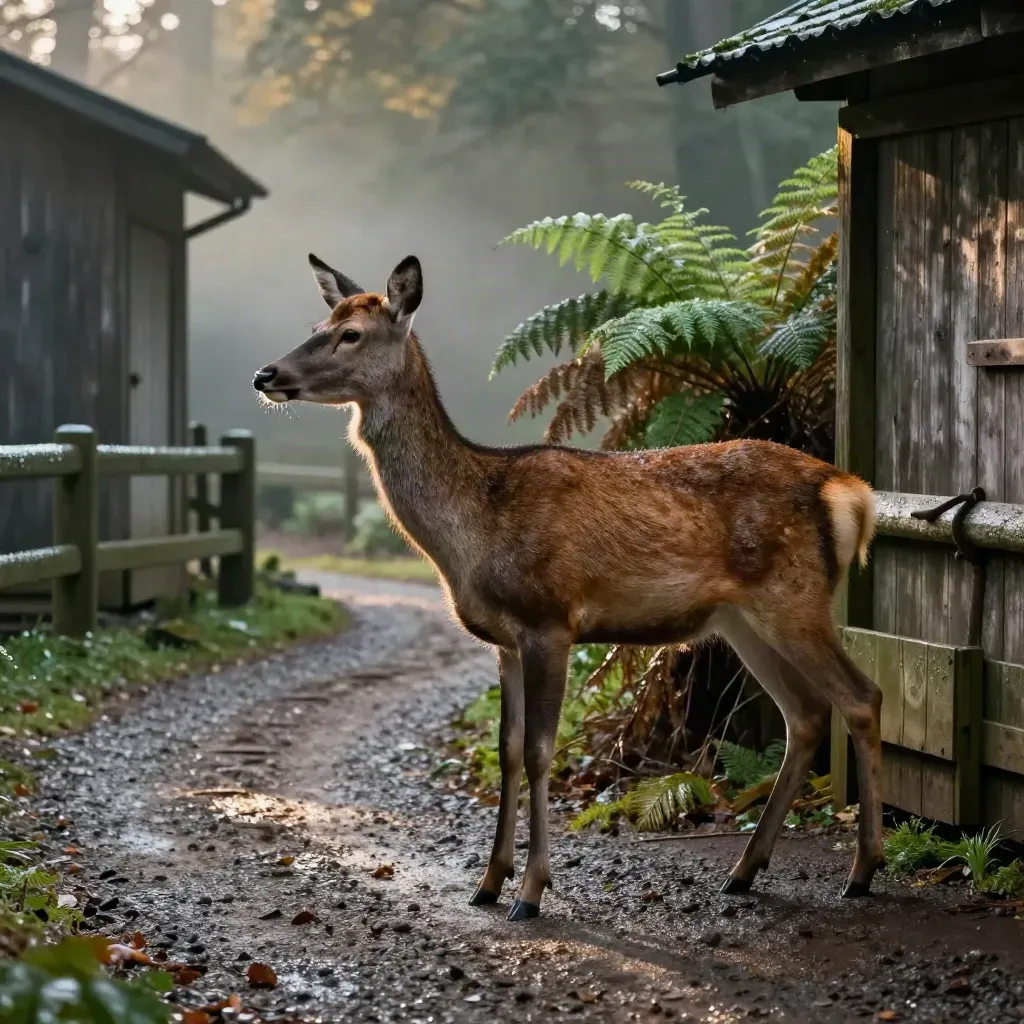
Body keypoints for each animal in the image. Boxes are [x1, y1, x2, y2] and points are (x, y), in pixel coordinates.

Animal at [252, 253, 883, 922]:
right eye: (319, 323)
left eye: (351, 334)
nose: (266, 373)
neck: (473, 529)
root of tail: (850, 492)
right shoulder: (502, 641)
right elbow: (506, 749)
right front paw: (489, 882)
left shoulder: (549, 620)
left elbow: (539, 750)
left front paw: (531, 891)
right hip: (743, 622)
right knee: (807, 715)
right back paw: (744, 870)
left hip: (795, 599)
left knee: (860, 697)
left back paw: (863, 870)